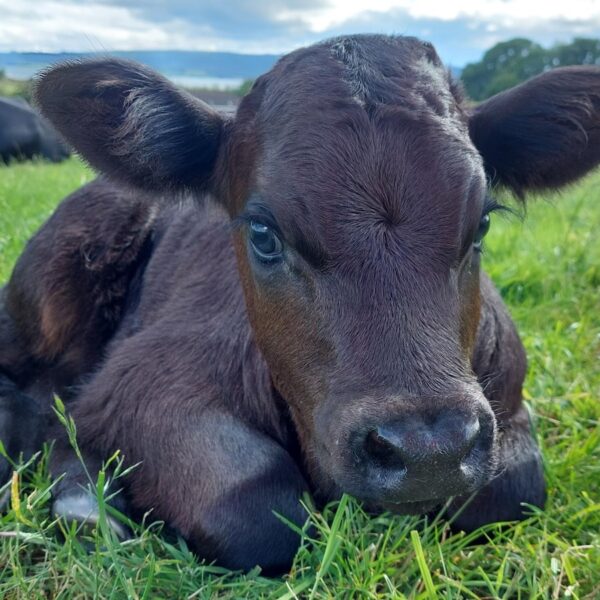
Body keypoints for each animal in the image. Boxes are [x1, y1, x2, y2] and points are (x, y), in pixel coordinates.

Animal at [1, 36, 600, 572]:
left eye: (481, 225)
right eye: (263, 234)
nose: (428, 451)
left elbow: (511, 493)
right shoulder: (136, 383)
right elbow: (255, 506)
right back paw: (83, 504)